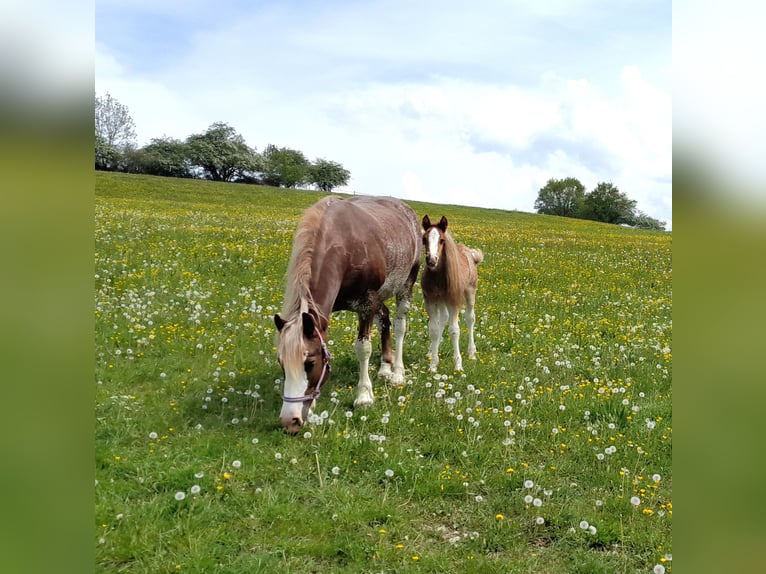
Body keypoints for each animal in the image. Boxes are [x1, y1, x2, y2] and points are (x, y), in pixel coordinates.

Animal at [274, 195, 422, 433]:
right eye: (281, 363)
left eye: (310, 363)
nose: (290, 421)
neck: (345, 245)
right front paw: (312, 406)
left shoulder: (366, 303)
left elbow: (363, 348)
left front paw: (364, 396)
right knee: (385, 320)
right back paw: (385, 367)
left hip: (406, 285)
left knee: (400, 325)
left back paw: (397, 373)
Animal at [420, 214, 484, 373]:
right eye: (424, 239)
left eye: (442, 240)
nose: (431, 260)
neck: (437, 277)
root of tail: (470, 253)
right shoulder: (430, 300)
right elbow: (434, 330)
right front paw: (433, 364)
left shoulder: (453, 301)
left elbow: (454, 331)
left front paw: (458, 365)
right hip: (442, 301)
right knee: (443, 319)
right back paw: (431, 351)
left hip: (470, 292)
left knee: (470, 318)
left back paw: (472, 353)